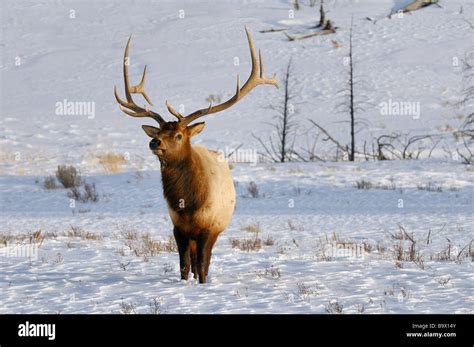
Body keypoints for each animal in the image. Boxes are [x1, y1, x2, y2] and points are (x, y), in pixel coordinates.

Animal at [115, 27, 278, 282]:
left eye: (179, 135)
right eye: (159, 131)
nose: (154, 141)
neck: (188, 204)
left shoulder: (208, 227)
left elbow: (202, 265)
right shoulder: (178, 227)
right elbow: (184, 266)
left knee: (205, 262)